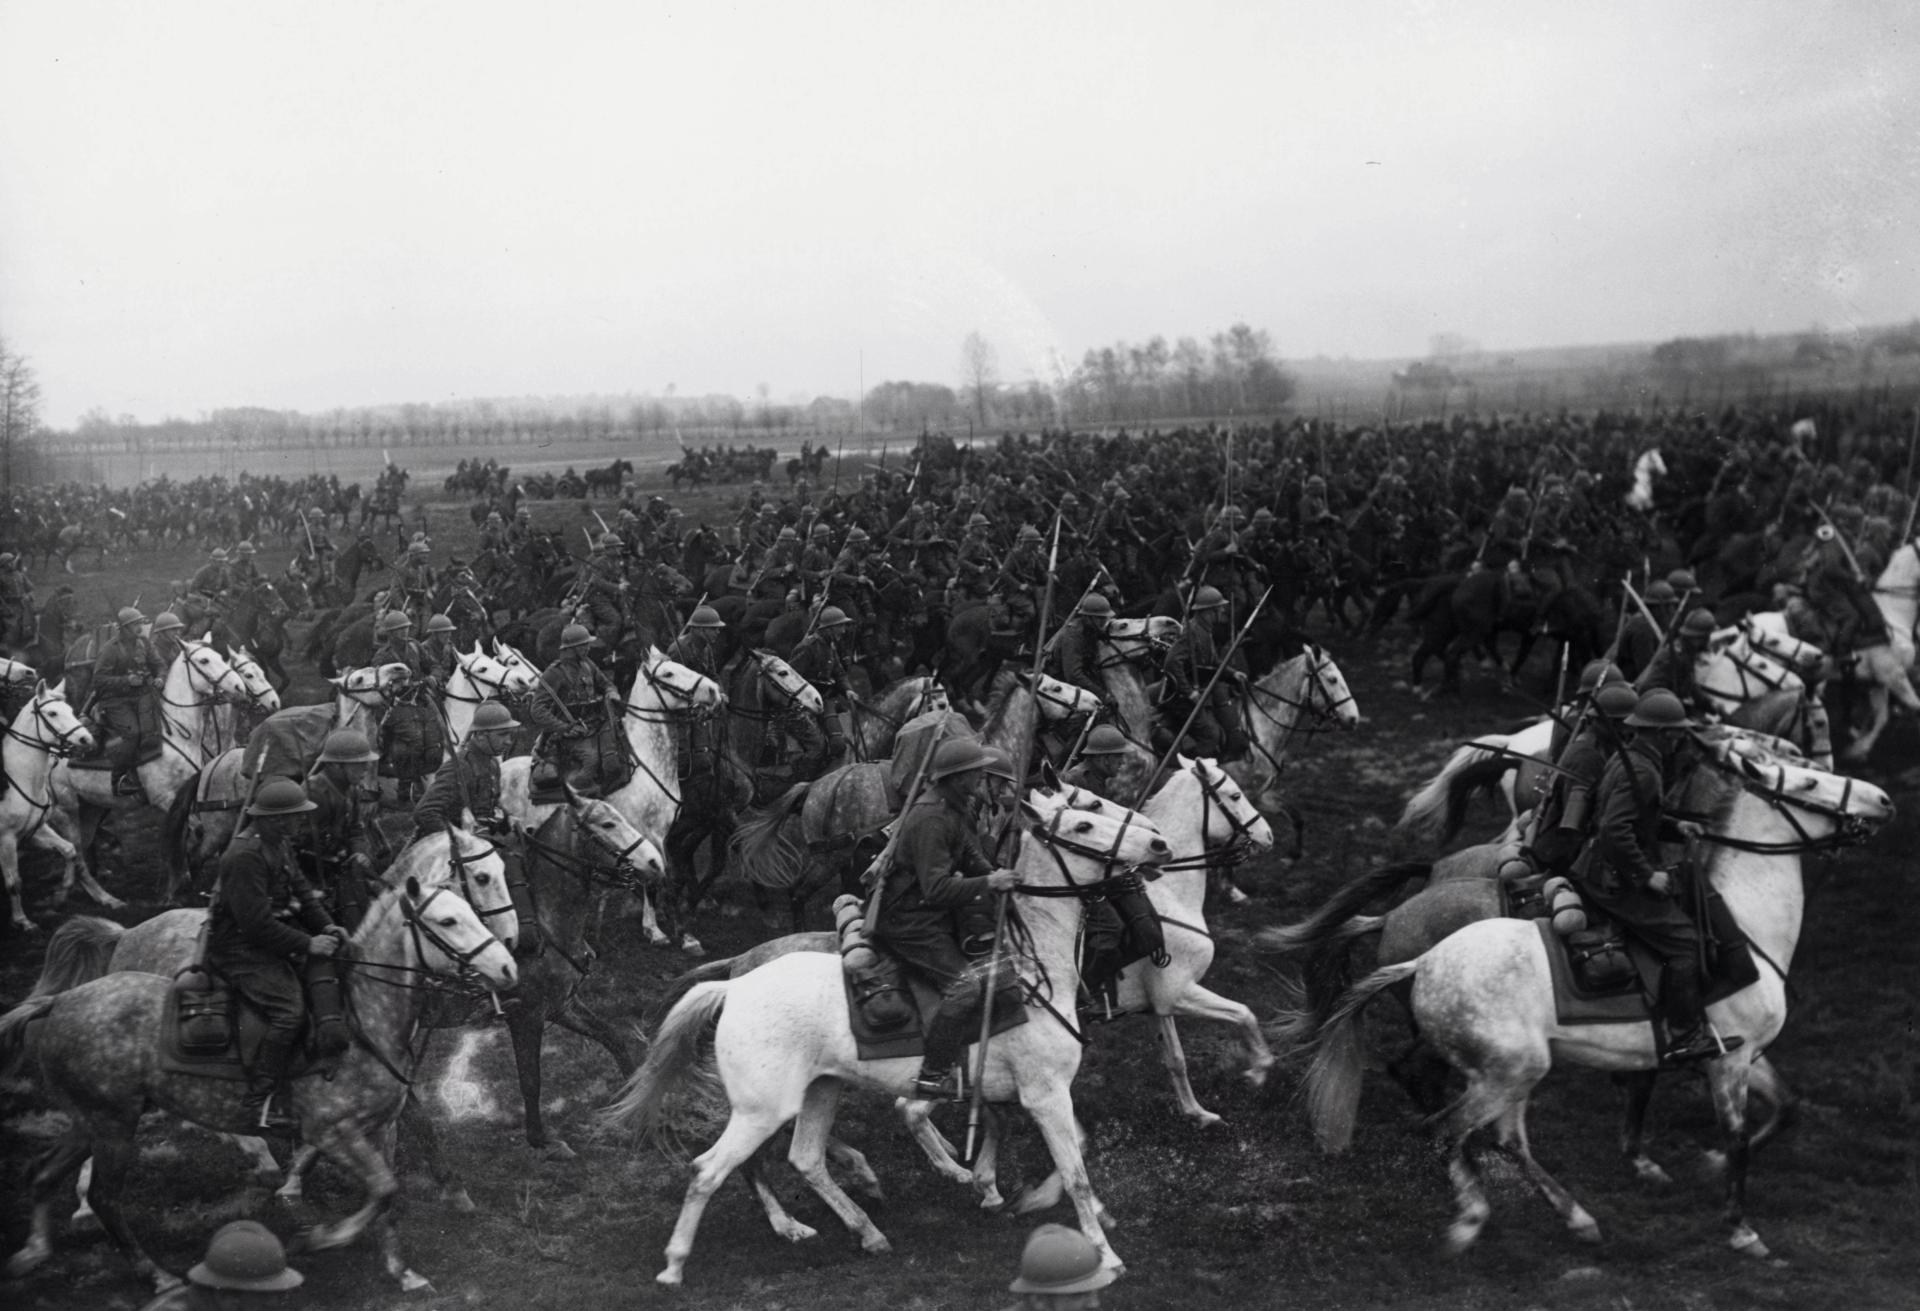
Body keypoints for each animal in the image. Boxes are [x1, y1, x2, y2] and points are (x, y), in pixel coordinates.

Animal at [0, 871, 518, 1289]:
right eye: (448, 922)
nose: (508, 966)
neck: (362, 1016)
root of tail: (59, 1002)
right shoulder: (333, 1132)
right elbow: (383, 1190)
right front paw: (320, 1237)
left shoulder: (381, 1129)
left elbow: (387, 1196)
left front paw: (403, 1272)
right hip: (113, 1126)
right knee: (106, 1197)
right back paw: (157, 1274)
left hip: (95, 1120)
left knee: (43, 1172)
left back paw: (33, 1252)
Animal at [599, 794, 1167, 1289]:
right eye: (1085, 822)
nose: (1158, 843)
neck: (1029, 972)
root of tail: (736, 983)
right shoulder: (1045, 1094)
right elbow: (1075, 1174)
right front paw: (1105, 1257)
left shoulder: (1018, 1093)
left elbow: (1064, 1149)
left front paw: (1012, 1194)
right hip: (762, 1110)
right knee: (710, 1170)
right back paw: (684, 1262)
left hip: (820, 1091)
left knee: (806, 1158)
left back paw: (866, 1230)